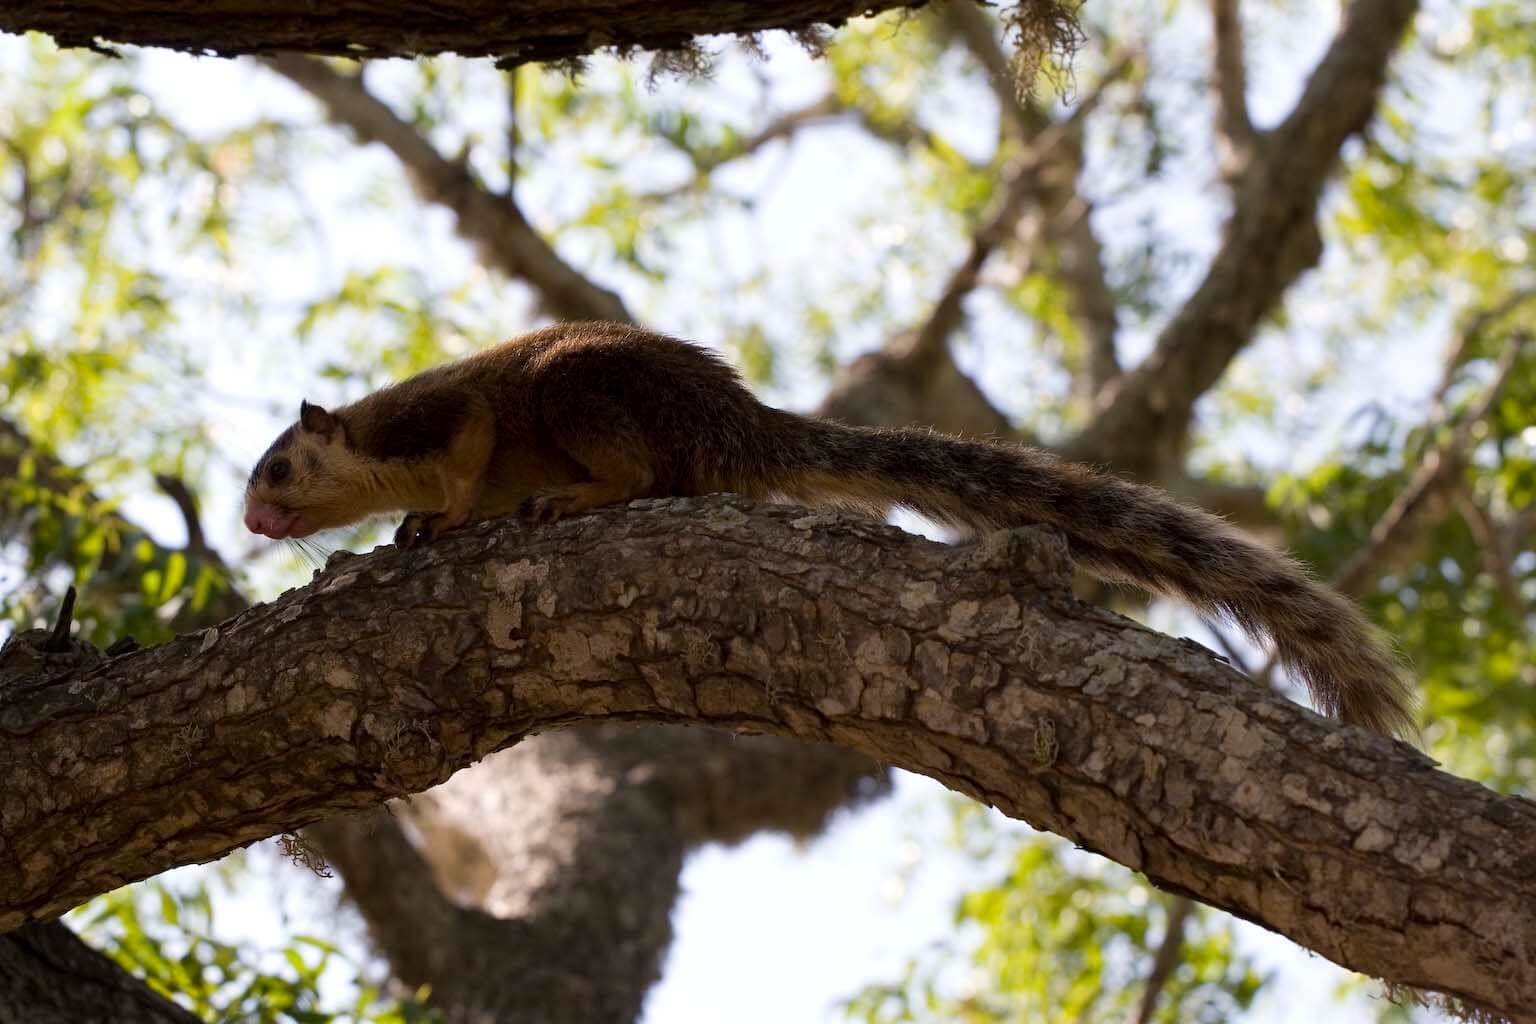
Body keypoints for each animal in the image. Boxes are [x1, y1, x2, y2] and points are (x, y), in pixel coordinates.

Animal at [248, 320, 1413, 736]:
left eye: (278, 466)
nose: (256, 520)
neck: (370, 446)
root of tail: (740, 424)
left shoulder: (442, 418)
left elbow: (466, 458)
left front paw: (429, 520)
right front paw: (410, 529)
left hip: (583, 394)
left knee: (639, 473)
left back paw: (577, 496)